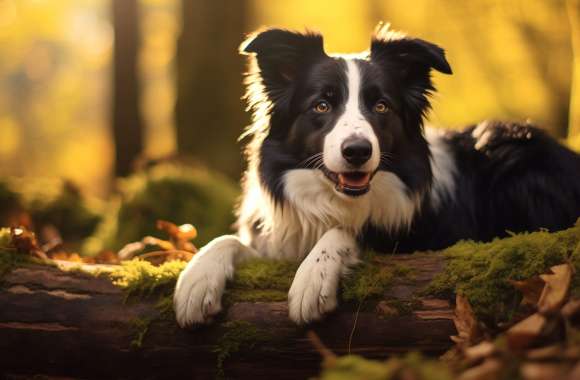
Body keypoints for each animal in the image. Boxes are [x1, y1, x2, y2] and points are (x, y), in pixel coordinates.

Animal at [174, 25, 580, 326]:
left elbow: (350, 230)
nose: (357, 151)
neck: (333, 199)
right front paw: (197, 278)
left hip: (509, 143)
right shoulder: (281, 237)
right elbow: (228, 241)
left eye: (381, 106)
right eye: (322, 105)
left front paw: (313, 278)